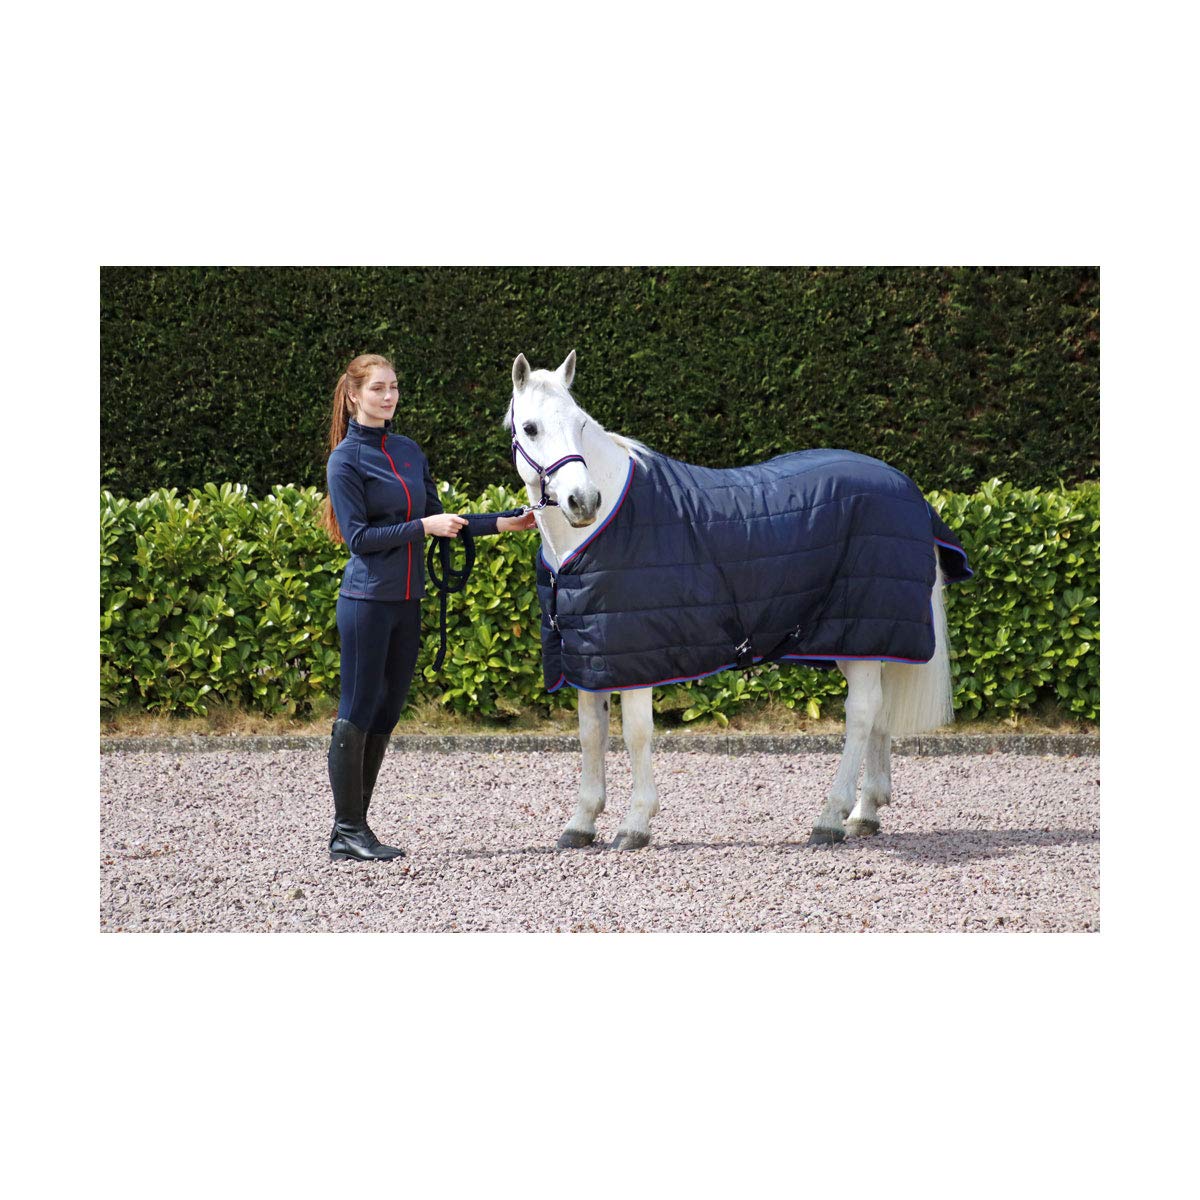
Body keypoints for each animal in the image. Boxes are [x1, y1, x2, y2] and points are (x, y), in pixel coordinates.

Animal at [504, 350, 969, 849]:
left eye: (581, 424)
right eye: (530, 427)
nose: (583, 501)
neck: (608, 523)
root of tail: (906, 488)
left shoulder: (635, 656)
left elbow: (636, 734)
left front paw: (635, 825)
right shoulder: (591, 658)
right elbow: (592, 735)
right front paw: (581, 823)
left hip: (860, 632)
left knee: (861, 713)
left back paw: (830, 817)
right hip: (865, 638)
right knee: (879, 713)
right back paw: (865, 814)